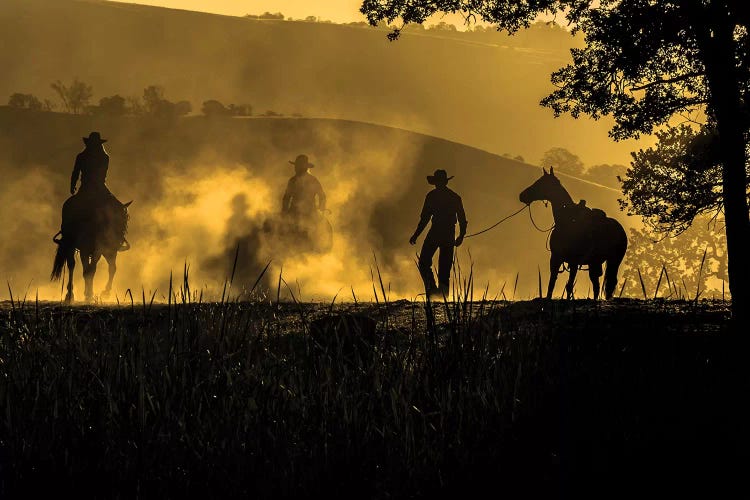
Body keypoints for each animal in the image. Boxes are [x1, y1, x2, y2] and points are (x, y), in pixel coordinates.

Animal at [516, 168, 628, 300]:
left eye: (541, 182)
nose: (522, 195)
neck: (567, 221)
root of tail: (620, 228)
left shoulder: (574, 261)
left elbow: (569, 286)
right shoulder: (556, 258)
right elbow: (551, 284)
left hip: (614, 261)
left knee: (610, 283)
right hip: (594, 264)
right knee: (596, 285)